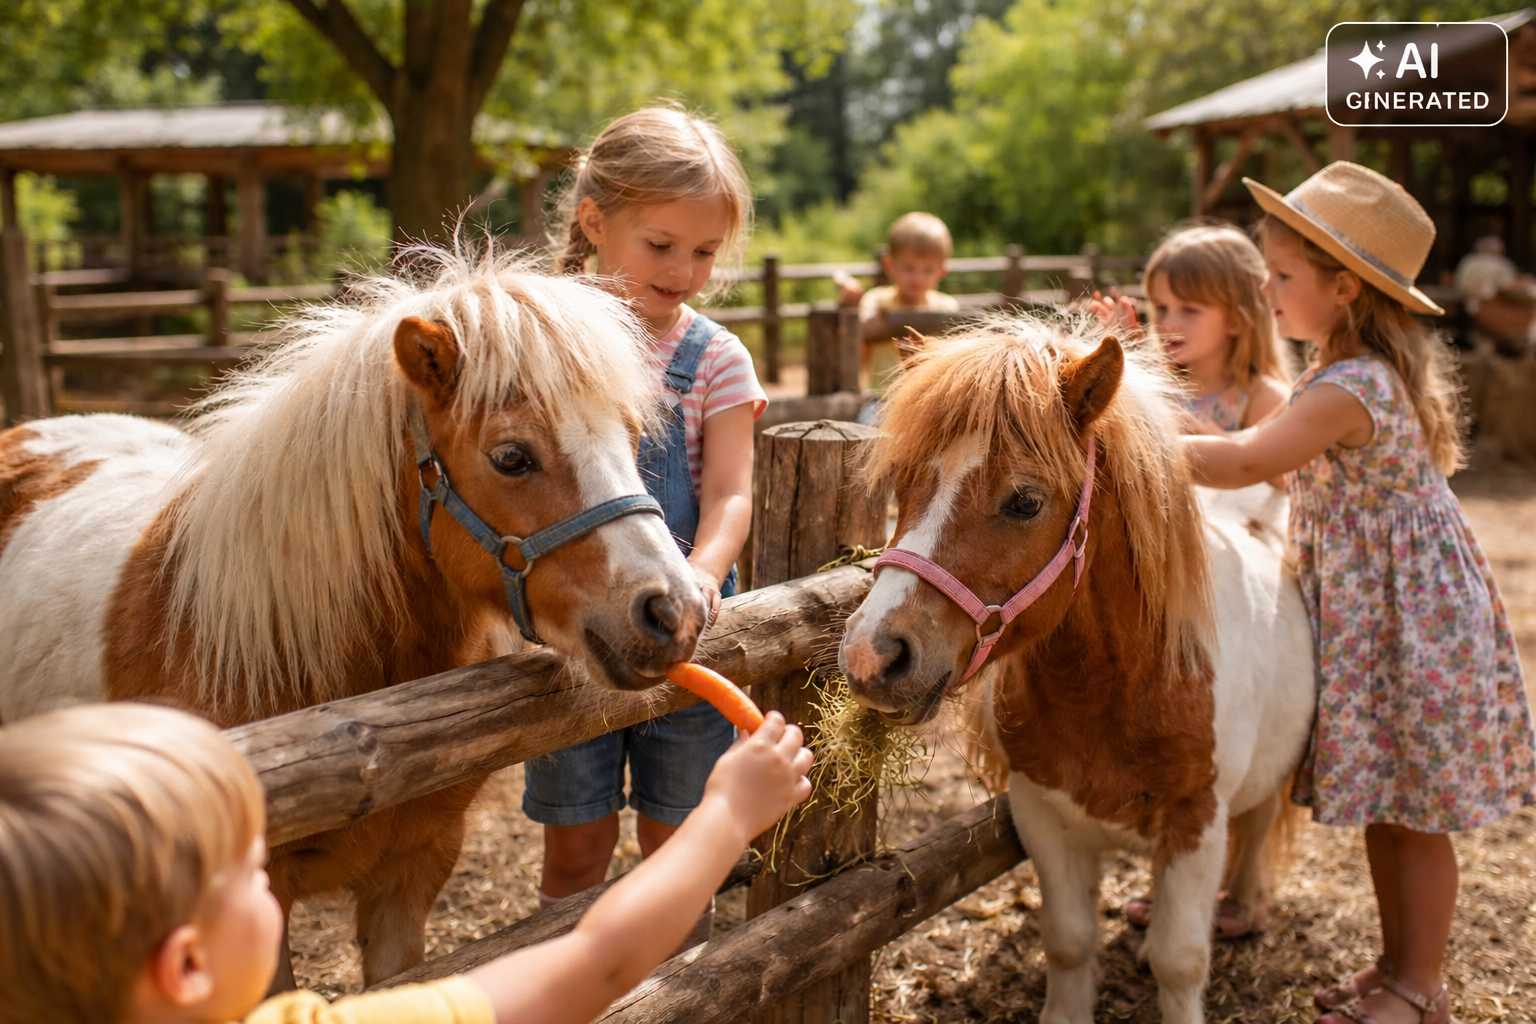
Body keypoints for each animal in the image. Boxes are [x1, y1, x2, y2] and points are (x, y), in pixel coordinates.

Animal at [839, 314, 1315, 1024]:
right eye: (904, 481)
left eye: (1025, 502)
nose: (872, 653)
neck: (1119, 690)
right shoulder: (1041, 812)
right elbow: (1068, 941)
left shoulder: (1196, 822)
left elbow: (1180, 961)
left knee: (1257, 828)